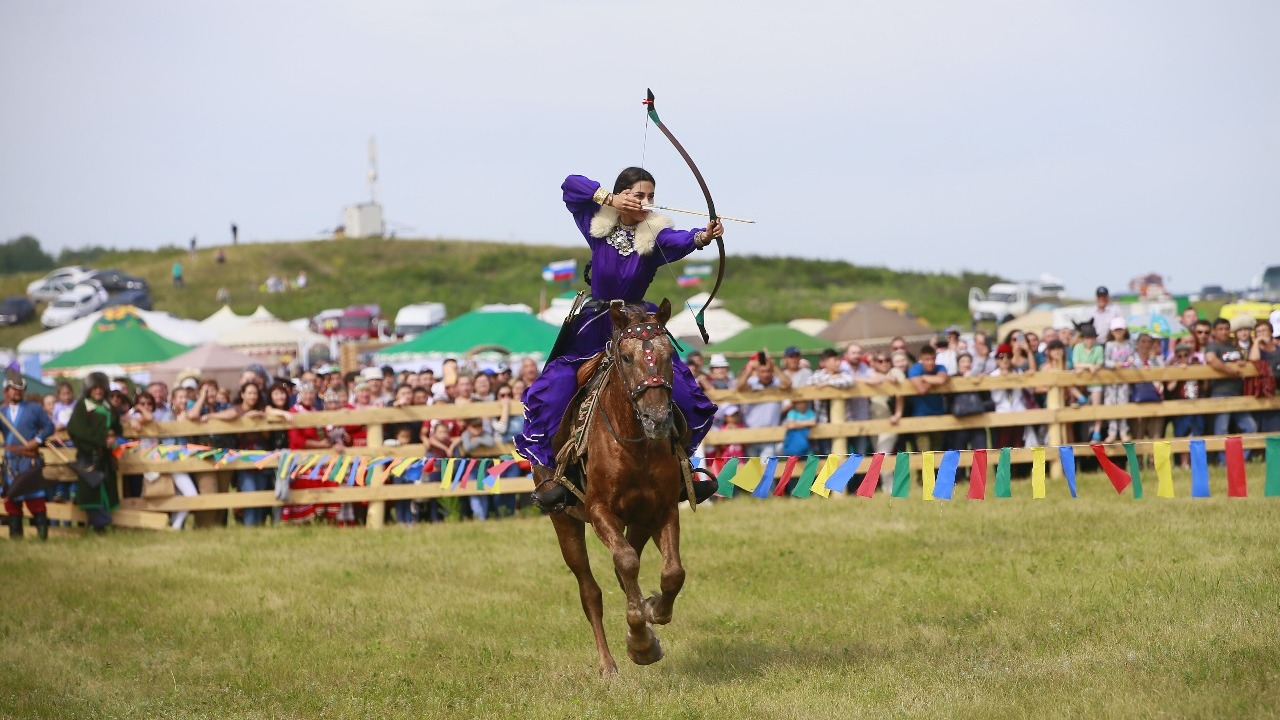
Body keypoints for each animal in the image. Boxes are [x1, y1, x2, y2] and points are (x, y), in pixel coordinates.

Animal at [546, 298, 689, 676]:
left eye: (669, 353)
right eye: (625, 357)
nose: (658, 419)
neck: (635, 444)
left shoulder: (663, 508)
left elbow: (672, 572)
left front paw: (654, 613)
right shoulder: (599, 511)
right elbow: (625, 562)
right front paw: (640, 642)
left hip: (639, 521)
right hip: (564, 521)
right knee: (590, 591)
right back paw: (607, 665)